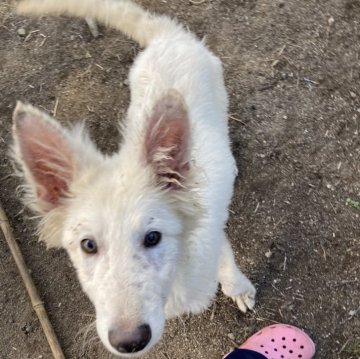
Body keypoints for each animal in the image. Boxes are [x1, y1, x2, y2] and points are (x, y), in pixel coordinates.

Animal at [12, 0, 258, 358]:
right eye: (88, 245)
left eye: (153, 237)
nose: (129, 342)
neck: (176, 277)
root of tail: (166, 36)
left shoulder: (214, 233)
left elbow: (229, 265)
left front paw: (239, 288)